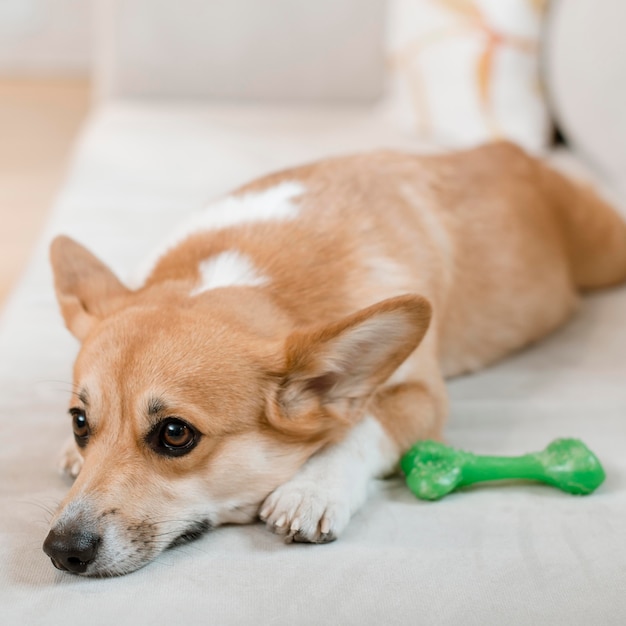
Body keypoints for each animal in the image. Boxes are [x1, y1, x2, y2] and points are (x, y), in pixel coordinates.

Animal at [42, 143, 624, 576]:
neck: (254, 273)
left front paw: (313, 489)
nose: (60, 552)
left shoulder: (422, 398)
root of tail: (517, 152)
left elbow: (363, 426)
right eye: (79, 421)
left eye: (175, 434)